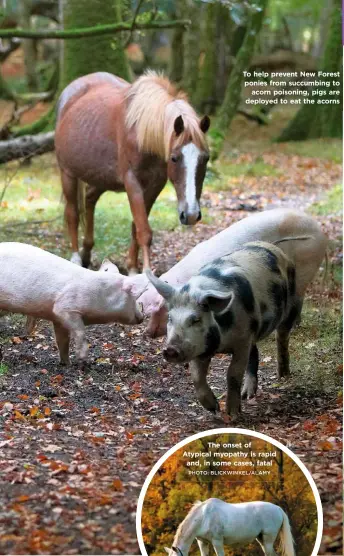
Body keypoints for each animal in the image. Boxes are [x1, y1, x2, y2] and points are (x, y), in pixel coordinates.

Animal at [0, 243, 146, 364]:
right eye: (133, 296)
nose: (142, 317)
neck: (100, 295)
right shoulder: (64, 307)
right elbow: (80, 331)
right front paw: (82, 359)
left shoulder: (56, 318)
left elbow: (63, 340)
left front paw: (66, 363)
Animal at [54, 70, 210, 274]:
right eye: (174, 158)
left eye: (205, 158)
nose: (190, 214)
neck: (143, 134)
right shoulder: (132, 181)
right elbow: (143, 230)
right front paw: (144, 272)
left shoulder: (155, 185)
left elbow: (137, 226)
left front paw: (132, 267)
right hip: (68, 173)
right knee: (72, 213)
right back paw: (76, 258)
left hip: (101, 177)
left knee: (89, 198)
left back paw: (86, 252)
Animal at [165, 500, 294, 556]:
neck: (204, 517)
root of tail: (278, 509)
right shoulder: (202, 542)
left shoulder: (217, 542)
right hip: (262, 540)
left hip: (268, 541)